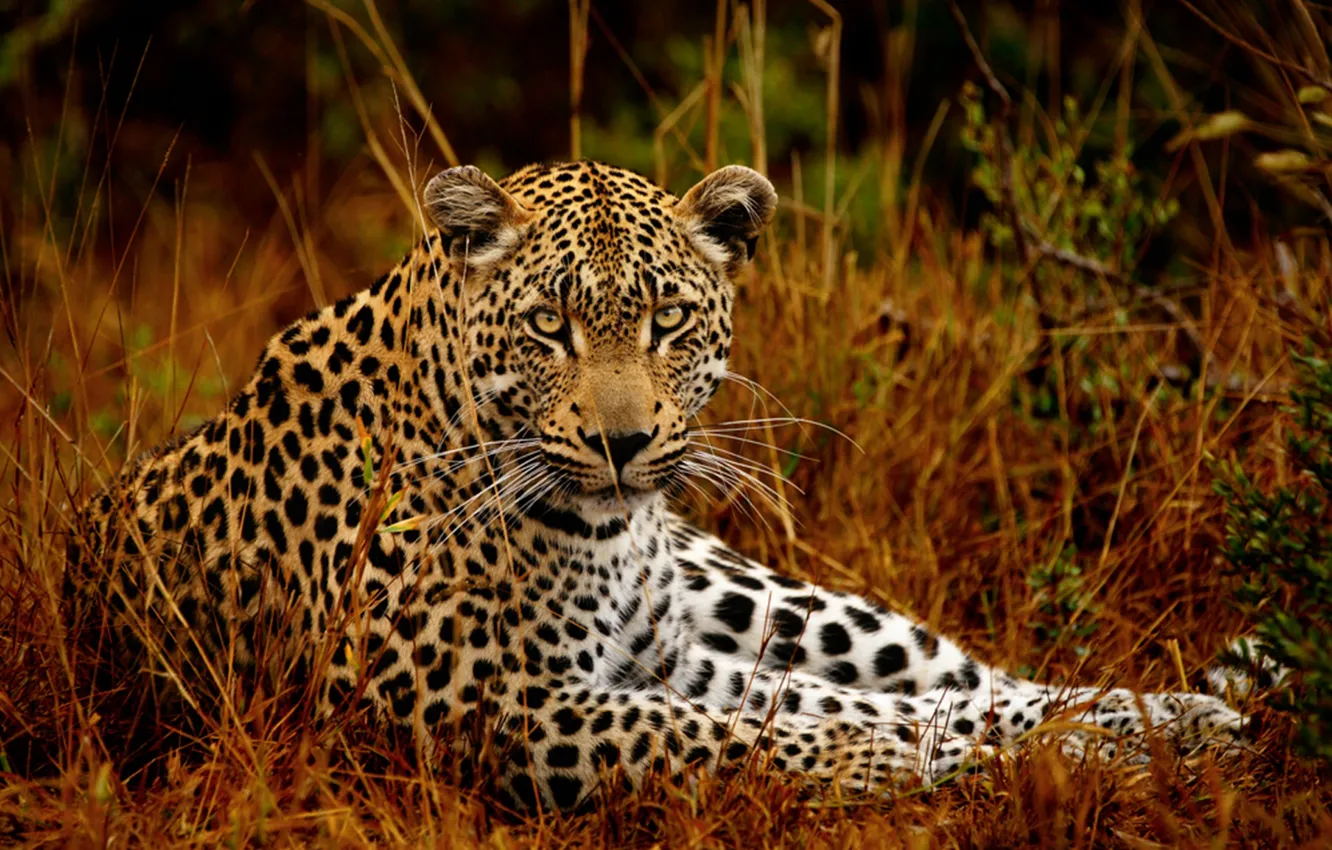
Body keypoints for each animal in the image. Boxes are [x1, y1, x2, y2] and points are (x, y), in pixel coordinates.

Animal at [65, 159, 1265, 812]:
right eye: (550, 323)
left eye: (668, 321)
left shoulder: (662, 657)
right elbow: (761, 732)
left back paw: (1171, 714)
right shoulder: (498, 707)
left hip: (749, 593)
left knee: (960, 670)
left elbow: (828, 709)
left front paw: (1094, 739)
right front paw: (963, 763)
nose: (625, 443)